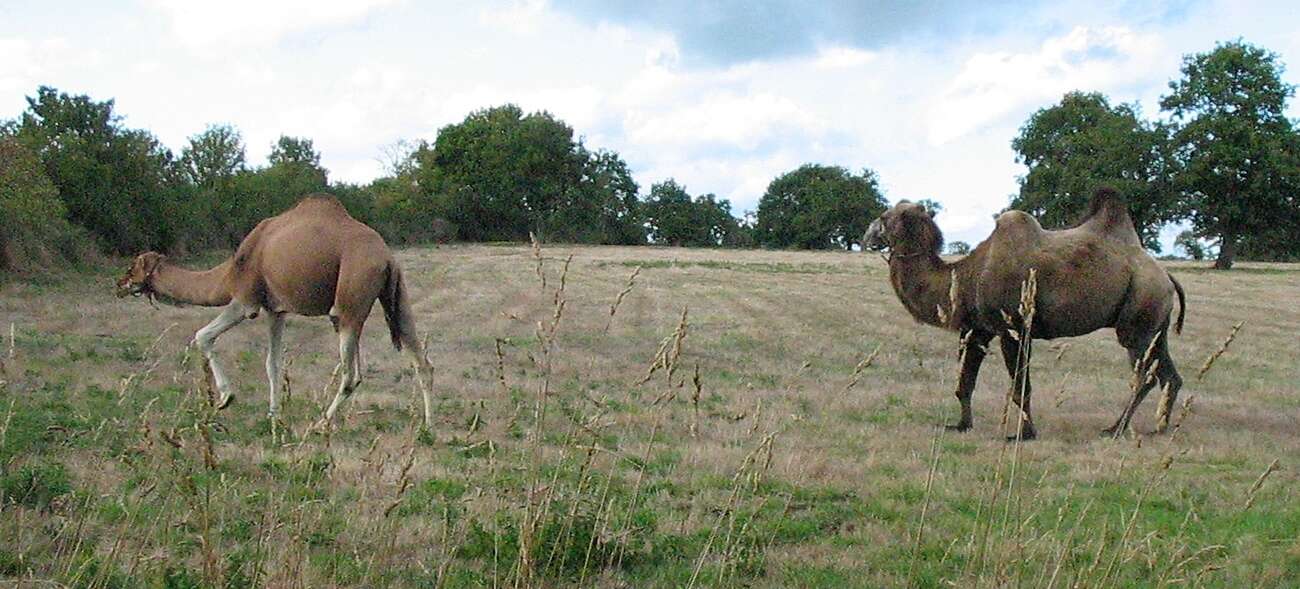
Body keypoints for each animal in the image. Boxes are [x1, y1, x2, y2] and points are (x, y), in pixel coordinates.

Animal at [115, 192, 434, 426]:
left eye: (131, 268)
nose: (118, 285)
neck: (230, 272)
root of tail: (387, 257)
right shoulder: (275, 309)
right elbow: (273, 363)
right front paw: (274, 416)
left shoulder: (246, 299)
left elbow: (202, 335)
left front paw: (226, 398)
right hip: (395, 297)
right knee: (420, 359)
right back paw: (428, 427)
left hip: (350, 297)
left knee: (350, 374)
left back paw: (321, 423)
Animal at [863, 187, 1190, 436]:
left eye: (885, 217)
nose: (867, 235)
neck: (966, 275)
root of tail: (1166, 276)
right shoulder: (977, 329)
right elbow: (965, 383)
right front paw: (961, 425)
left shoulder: (1014, 328)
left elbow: (1021, 386)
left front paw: (1024, 434)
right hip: (1155, 326)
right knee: (1169, 375)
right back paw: (1160, 426)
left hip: (1138, 317)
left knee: (1145, 375)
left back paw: (1115, 428)